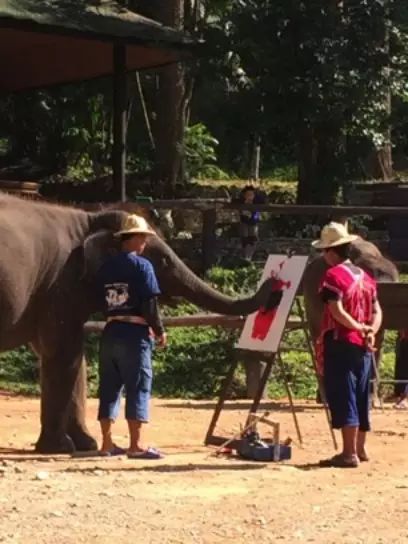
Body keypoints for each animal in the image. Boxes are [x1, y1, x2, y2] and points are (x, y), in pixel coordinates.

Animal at [0, 193, 274, 452]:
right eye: (163, 261)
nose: (273, 282)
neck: (90, 219)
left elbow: (71, 358)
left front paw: (86, 444)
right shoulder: (60, 286)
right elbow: (63, 353)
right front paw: (60, 447)